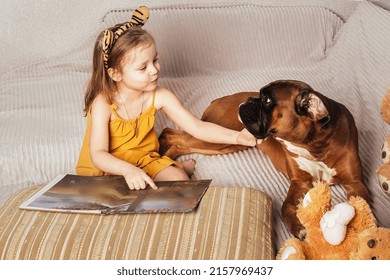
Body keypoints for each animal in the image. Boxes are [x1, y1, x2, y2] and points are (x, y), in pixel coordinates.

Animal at [158, 79, 368, 238]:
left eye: (266, 100)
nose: (250, 99)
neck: (315, 146)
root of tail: (220, 99)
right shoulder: (299, 183)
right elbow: (285, 207)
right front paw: (299, 229)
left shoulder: (355, 183)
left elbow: (362, 208)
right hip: (212, 137)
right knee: (171, 134)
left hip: (227, 143)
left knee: (177, 141)